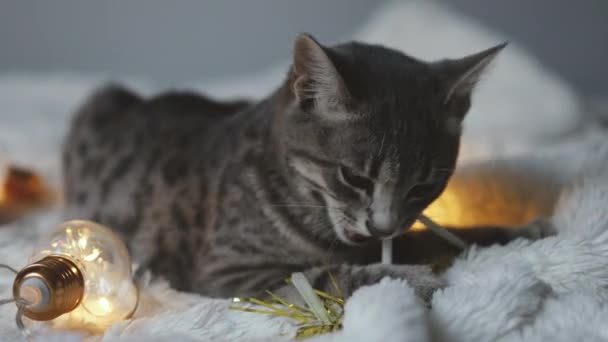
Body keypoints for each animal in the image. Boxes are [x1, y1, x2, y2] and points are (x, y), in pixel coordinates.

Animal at [60, 34, 552, 302]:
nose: (382, 225)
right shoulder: (229, 272)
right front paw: (418, 280)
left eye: (424, 186)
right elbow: (323, 276)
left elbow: (434, 235)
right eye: (354, 177)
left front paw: (516, 232)